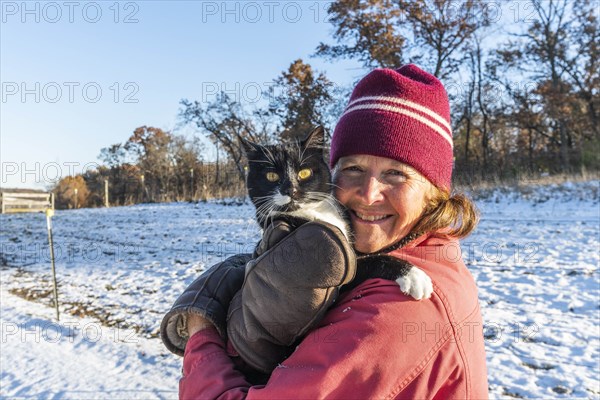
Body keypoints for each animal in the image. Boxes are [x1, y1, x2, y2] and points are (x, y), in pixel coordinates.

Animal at [241, 126, 434, 300]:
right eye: (271, 176)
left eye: (304, 173)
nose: (291, 190)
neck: (313, 212)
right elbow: (371, 261)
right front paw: (413, 275)